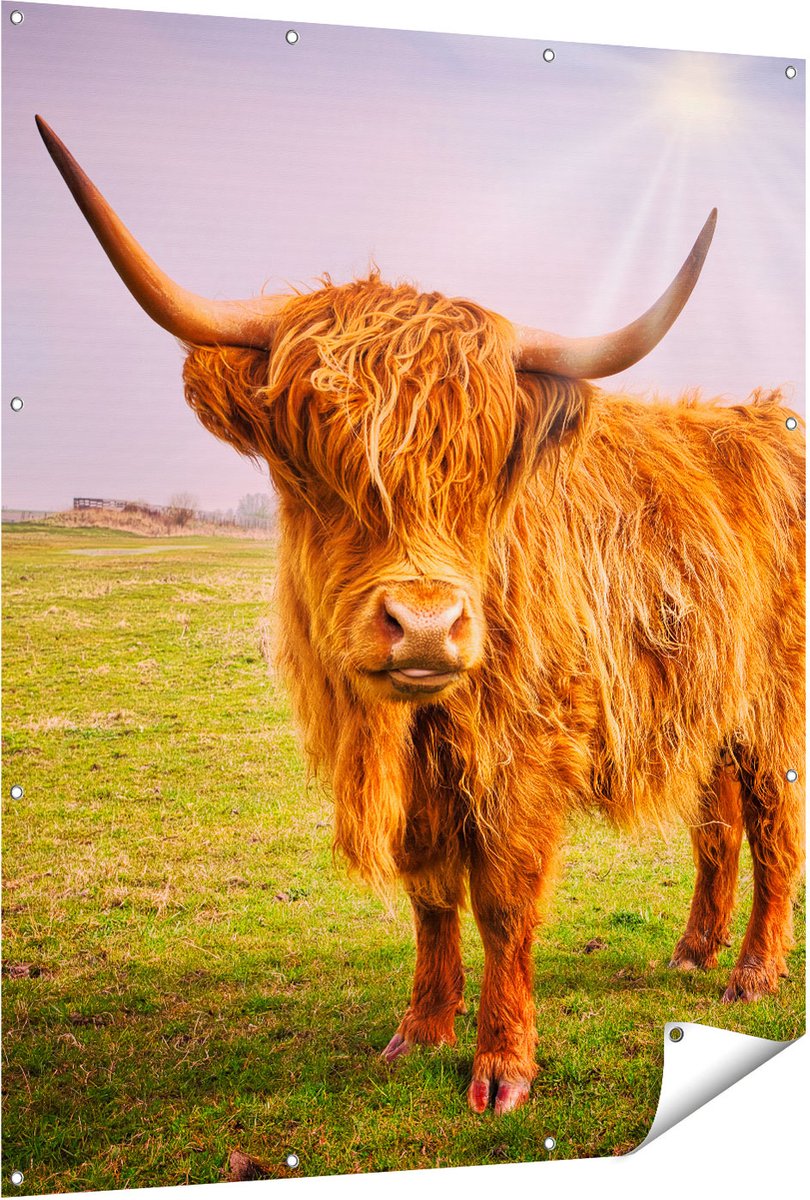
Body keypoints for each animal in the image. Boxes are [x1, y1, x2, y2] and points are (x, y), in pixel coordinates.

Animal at [37, 116, 804, 1116]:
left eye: (484, 471)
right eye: (314, 463)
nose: (429, 625)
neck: (417, 725)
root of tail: (765, 421)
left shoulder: (526, 749)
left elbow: (505, 900)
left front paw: (502, 1067)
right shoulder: (423, 779)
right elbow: (432, 894)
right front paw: (422, 1030)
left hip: (774, 707)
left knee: (774, 827)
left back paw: (751, 973)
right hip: (708, 701)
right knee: (717, 826)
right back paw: (692, 951)